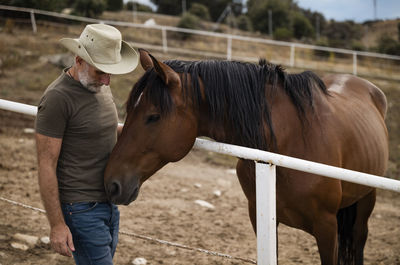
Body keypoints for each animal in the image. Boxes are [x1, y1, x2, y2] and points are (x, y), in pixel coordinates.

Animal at [104, 48, 390, 262]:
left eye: (153, 116)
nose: (110, 182)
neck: (288, 144)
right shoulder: (261, 218)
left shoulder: (327, 229)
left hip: (366, 203)